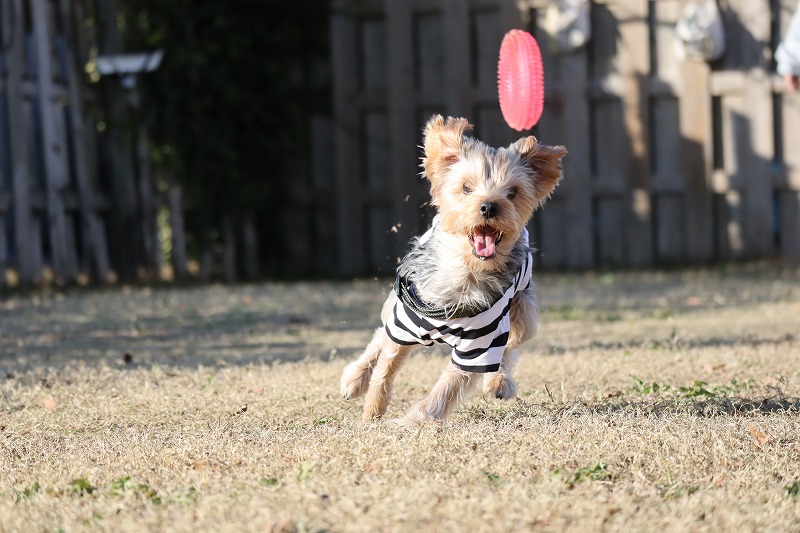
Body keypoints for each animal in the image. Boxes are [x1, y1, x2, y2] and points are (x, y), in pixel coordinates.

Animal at [340, 115, 567, 428]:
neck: (465, 272)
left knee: (511, 345)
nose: (489, 206)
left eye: (512, 193)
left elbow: (445, 389)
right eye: (466, 188)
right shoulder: (405, 323)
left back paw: (499, 382)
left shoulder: (479, 346)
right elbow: (386, 365)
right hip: (395, 304)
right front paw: (373, 410)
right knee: (379, 336)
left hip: (524, 313)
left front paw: (407, 423)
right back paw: (354, 378)